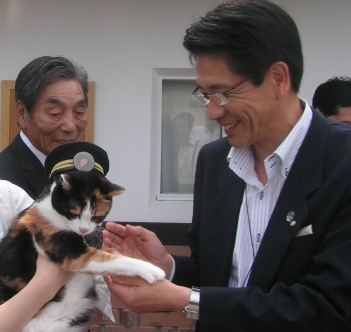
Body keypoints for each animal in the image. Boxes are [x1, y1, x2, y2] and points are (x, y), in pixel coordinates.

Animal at [0, 171, 166, 332]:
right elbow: (114, 260)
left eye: (96, 216)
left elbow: (114, 254)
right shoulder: (73, 253)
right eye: (75, 213)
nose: (84, 229)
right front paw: (151, 270)